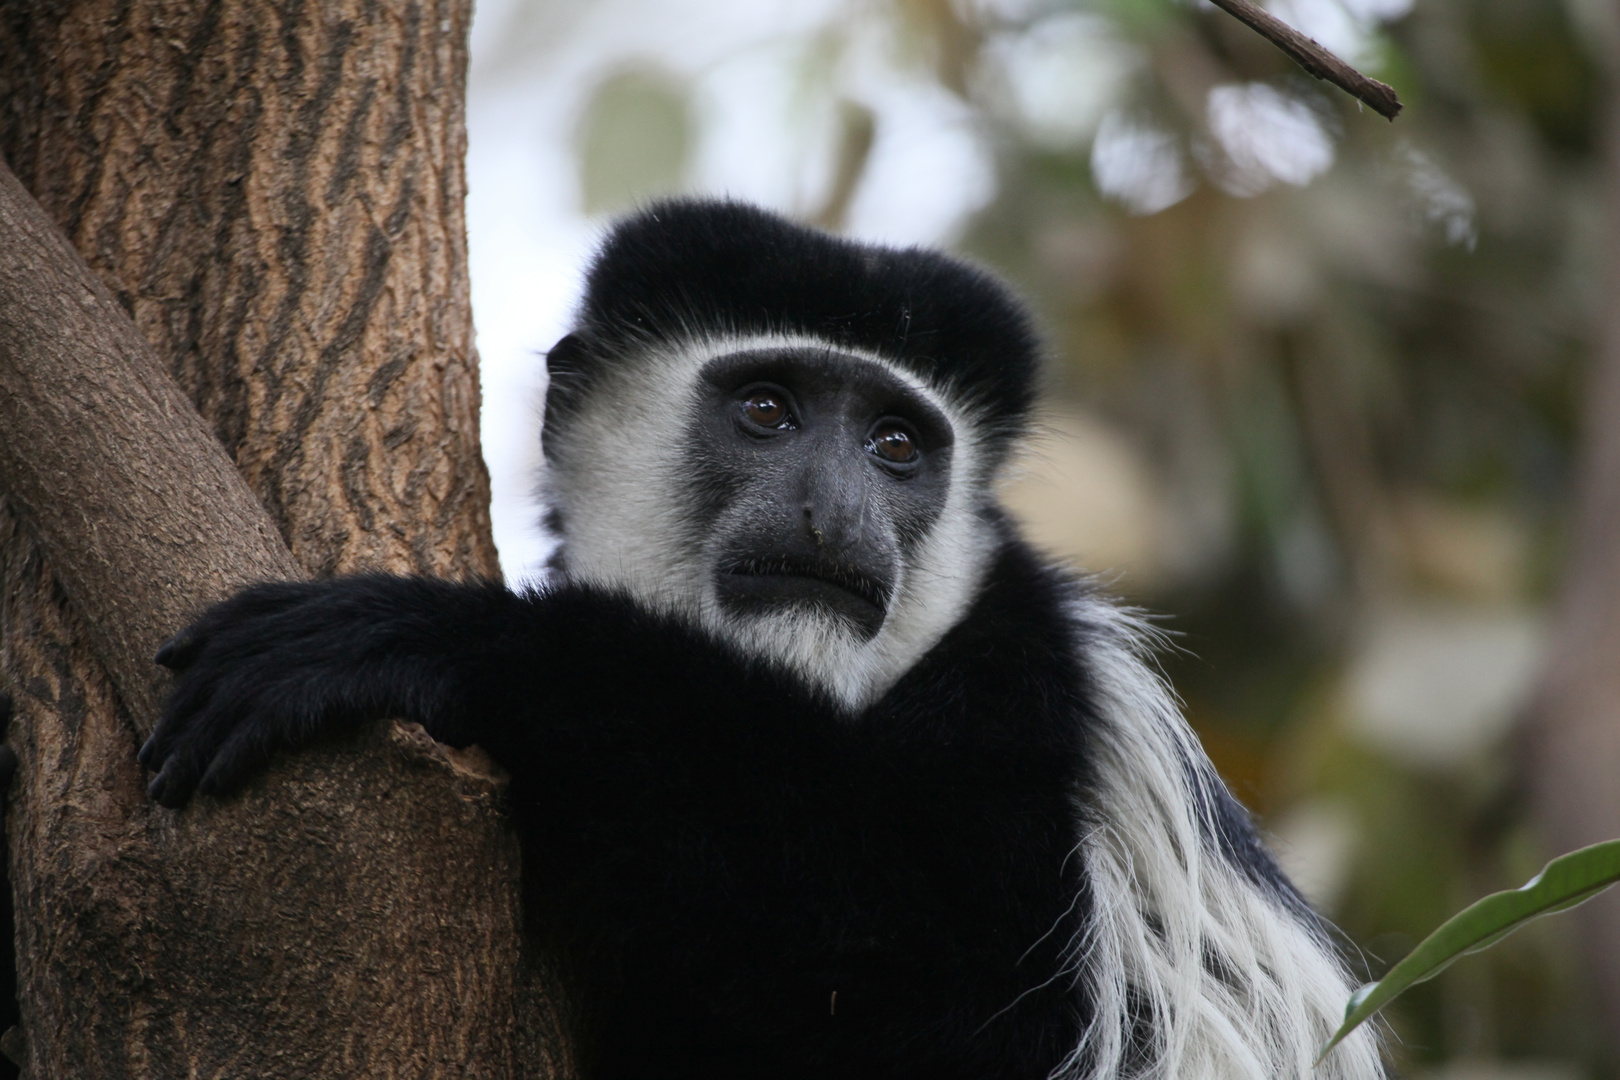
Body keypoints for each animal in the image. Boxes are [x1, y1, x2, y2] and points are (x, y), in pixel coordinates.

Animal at [136, 200, 1380, 1080]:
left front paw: (433, 637)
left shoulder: (1026, 696)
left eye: (895, 444)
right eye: (768, 410)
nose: (833, 511)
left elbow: (948, 989)